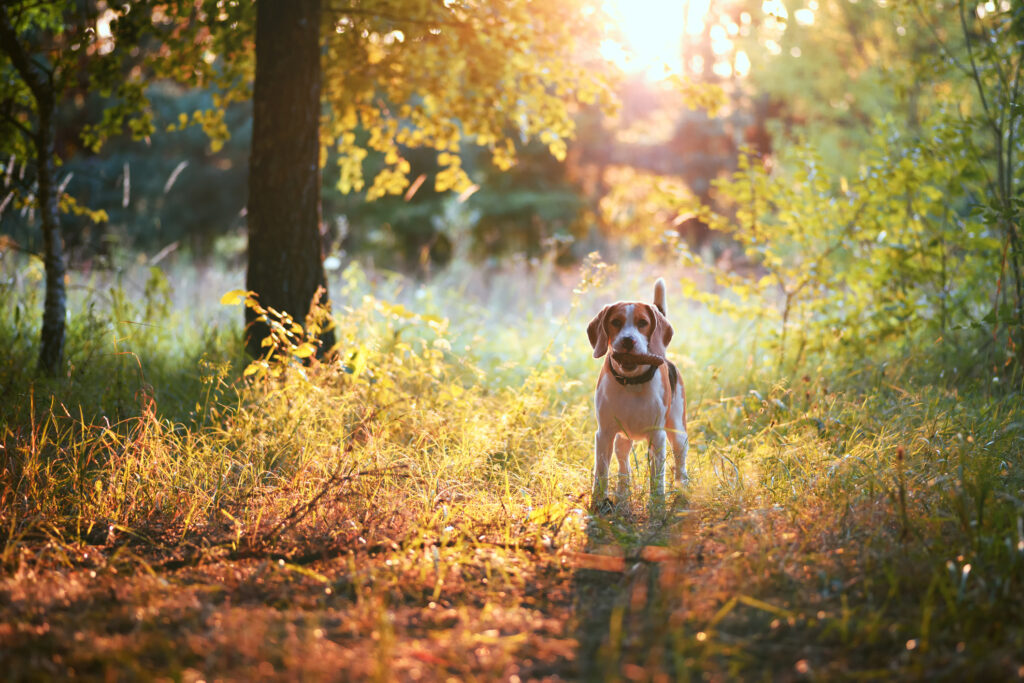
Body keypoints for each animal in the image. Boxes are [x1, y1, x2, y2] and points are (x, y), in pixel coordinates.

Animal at [585, 278, 688, 507]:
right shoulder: (604, 434)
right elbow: (601, 472)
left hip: (678, 432)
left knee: (680, 463)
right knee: (624, 465)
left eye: (643, 323)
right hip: (621, 440)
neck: (631, 383)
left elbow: (657, 477)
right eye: (615, 322)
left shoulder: (657, 436)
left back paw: (682, 490)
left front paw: (657, 506)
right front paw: (598, 502)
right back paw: (623, 493)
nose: (628, 340)